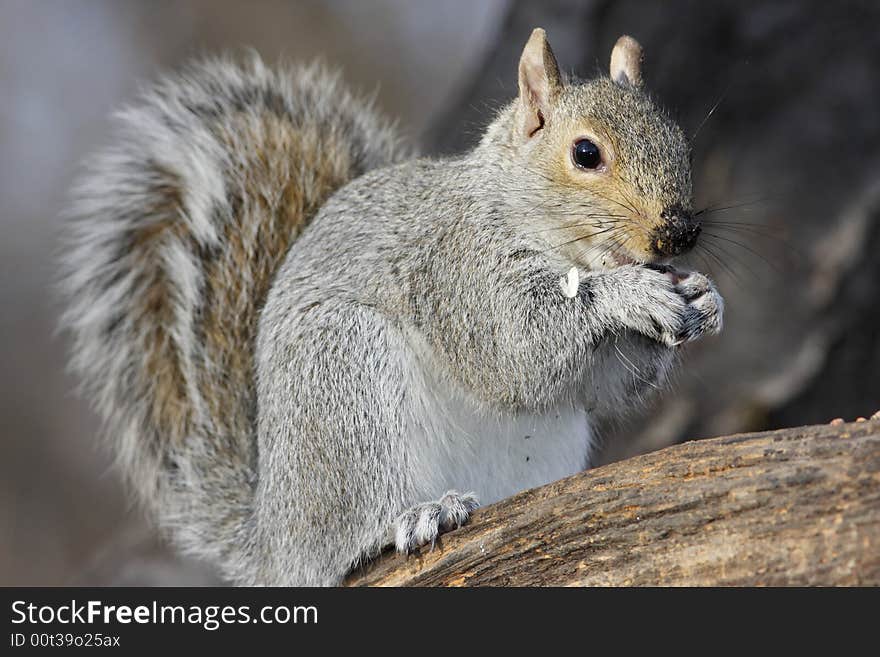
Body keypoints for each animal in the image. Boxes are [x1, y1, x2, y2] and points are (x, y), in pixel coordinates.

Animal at [60, 30, 720, 584]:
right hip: (343, 375)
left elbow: (602, 383)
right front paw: (629, 295)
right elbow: (518, 346)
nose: (679, 233)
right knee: (351, 532)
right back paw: (415, 515)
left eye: (682, 144)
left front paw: (704, 298)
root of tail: (275, 539)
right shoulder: (455, 268)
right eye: (586, 154)